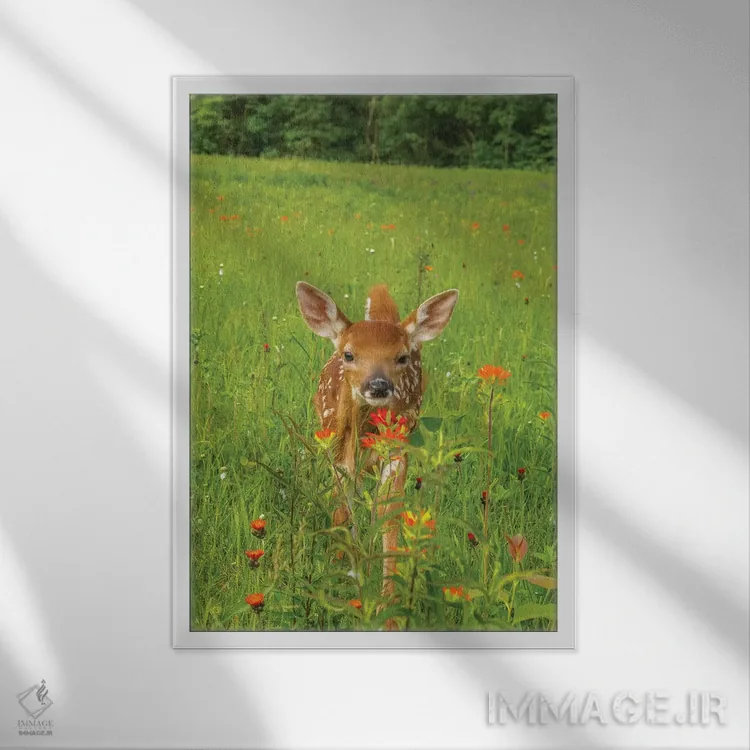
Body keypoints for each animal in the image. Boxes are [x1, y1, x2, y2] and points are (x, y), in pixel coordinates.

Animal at [295, 281, 459, 622]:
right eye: (349, 354)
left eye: (401, 357)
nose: (378, 386)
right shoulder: (336, 449)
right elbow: (342, 504)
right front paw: (345, 569)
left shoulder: (397, 449)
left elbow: (388, 510)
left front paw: (387, 607)